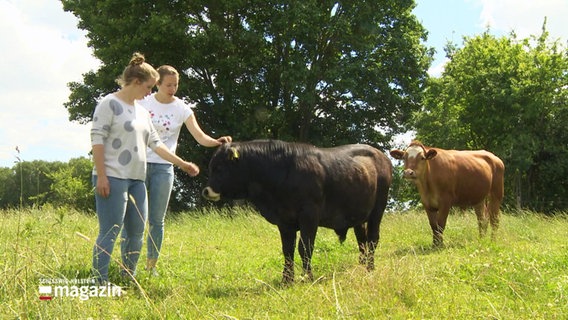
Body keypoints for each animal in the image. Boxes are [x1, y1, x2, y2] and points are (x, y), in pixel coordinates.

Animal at [202, 140, 392, 282]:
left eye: (219, 168)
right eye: (211, 167)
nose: (206, 191)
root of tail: (381, 155)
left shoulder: (309, 215)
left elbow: (305, 247)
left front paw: (307, 277)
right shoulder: (284, 220)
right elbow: (287, 249)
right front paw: (286, 279)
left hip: (378, 210)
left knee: (372, 239)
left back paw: (370, 268)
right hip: (358, 215)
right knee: (362, 241)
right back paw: (362, 266)